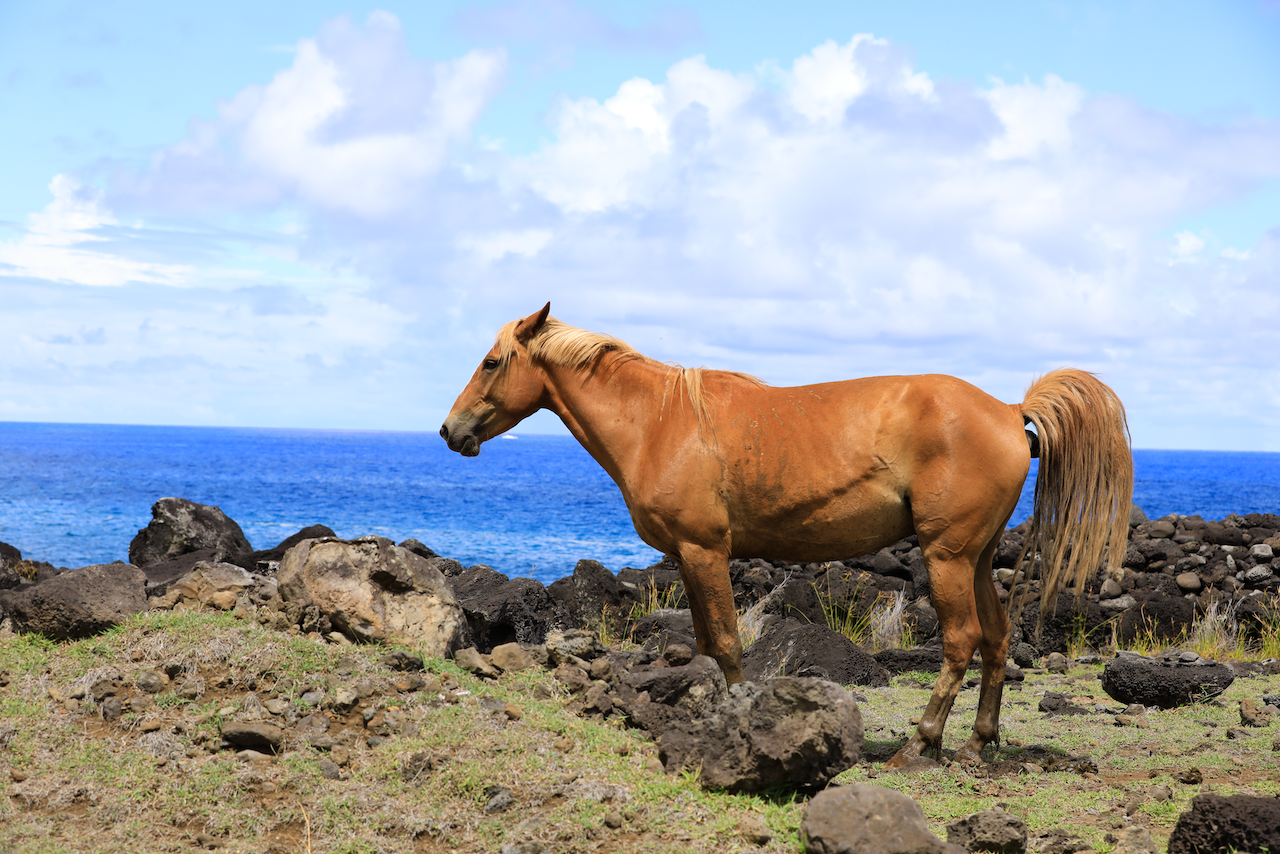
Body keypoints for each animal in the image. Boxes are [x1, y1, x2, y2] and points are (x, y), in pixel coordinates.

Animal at [440, 302, 1131, 768]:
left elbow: (724, 644)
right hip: (978, 557)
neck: (661, 423)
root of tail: (1010, 412)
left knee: (961, 641)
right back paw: (980, 742)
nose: (450, 431)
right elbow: (704, 643)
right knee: (996, 637)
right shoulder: (690, 557)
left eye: (492, 362)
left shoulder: (705, 551)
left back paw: (921, 744)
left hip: (948, 557)